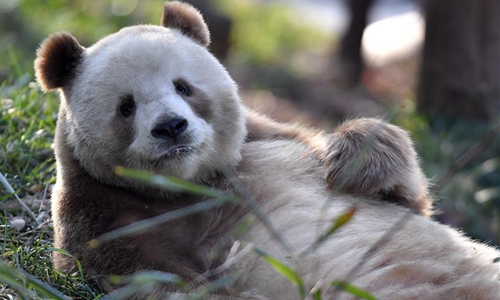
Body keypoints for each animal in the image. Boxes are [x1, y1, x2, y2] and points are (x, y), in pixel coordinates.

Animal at [33, 1, 498, 298]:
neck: (190, 185)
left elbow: (406, 200)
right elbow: (164, 284)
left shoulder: (274, 142)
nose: (171, 127)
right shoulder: (103, 222)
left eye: (183, 87)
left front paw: (357, 160)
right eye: (126, 107)